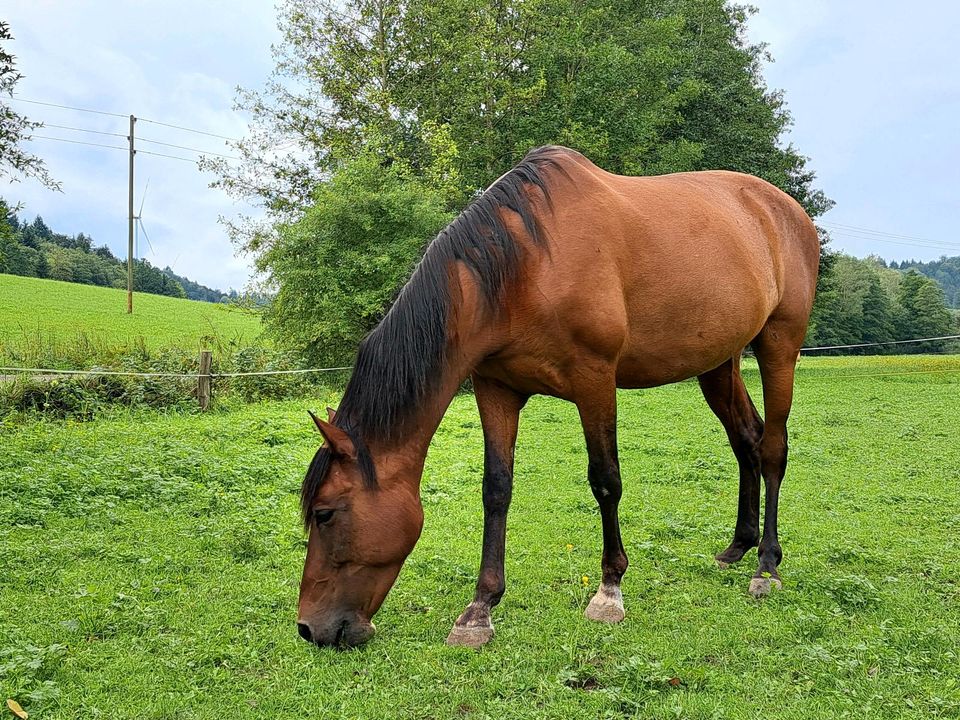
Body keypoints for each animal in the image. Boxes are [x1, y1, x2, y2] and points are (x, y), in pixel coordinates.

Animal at [294, 145, 816, 648]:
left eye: (324, 513)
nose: (309, 628)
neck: (524, 266)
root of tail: (786, 209)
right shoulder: (496, 389)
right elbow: (496, 488)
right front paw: (480, 608)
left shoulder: (594, 380)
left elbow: (606, 481)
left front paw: (609, 592)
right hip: (718, 363)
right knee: (746, 441)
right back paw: (738, 546)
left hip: (779, 345)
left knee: (773, 448)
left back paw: (766, 564)